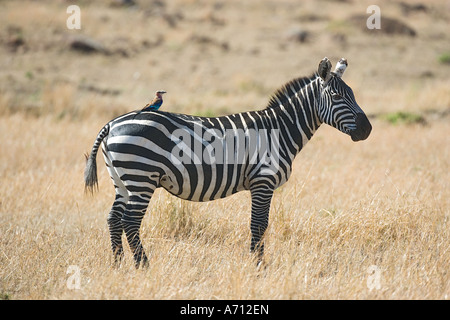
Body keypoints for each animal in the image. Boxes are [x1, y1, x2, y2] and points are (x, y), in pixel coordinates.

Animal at [85, 57, 372, 268]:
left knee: (113, 219)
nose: (367, 129)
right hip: (141, 177)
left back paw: (118, 265)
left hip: (123, 180)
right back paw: (143, 266)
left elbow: (259, 225)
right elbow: (259, 225)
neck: (279, 129)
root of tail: (112, 124)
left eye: (353, 94)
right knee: (130, 222)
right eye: (336, 96)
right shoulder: (263, 181)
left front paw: (258, 264)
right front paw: (259, 266)